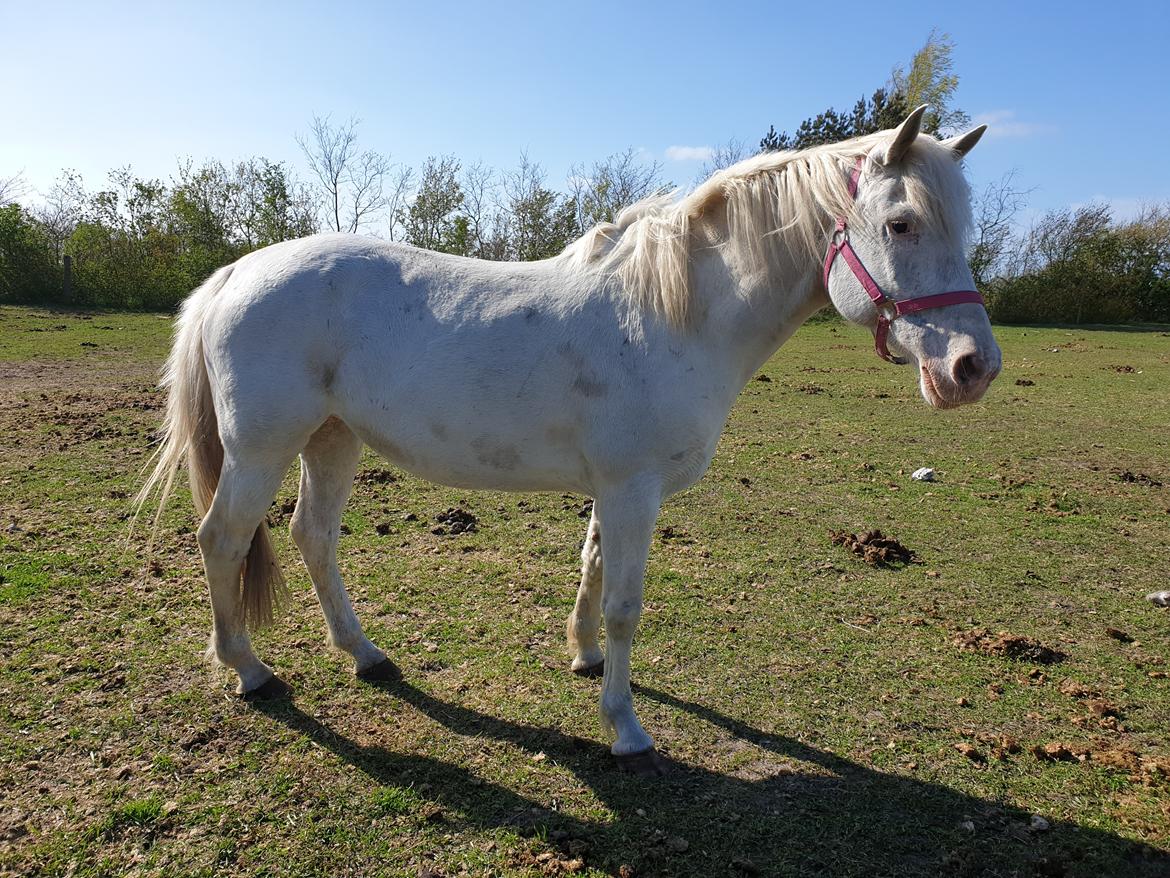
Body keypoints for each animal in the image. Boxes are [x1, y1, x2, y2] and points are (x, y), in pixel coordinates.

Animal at [136, 108, 996, 777]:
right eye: (901, 224)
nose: (973, 367)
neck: (674, 315)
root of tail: (237, 271)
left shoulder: (614, 490)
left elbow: (591, 567)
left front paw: (582, 658)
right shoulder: (633, 490)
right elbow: (624, 603)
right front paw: (626, 728)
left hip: (333, 441)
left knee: (312, 537)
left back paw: (365, 655)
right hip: (262, 449)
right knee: (221, 539)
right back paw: (249, 670)